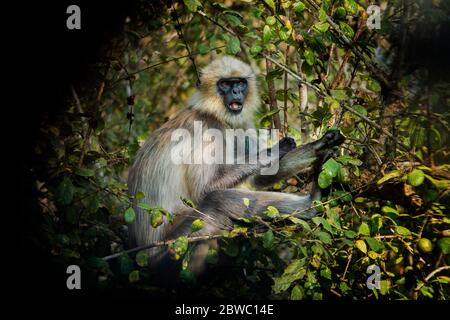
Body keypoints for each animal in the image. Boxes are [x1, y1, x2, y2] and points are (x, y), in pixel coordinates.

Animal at [127, 56, 344, 278]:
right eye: (225, 84)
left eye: (240, 83)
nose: (236, 92)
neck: (211, 112)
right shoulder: (207, 129)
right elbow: (205, 189)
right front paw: (275, 149)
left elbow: (259, 177)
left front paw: (319, 145)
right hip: (173, 246)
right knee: (218, 199)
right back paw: (312, 204)